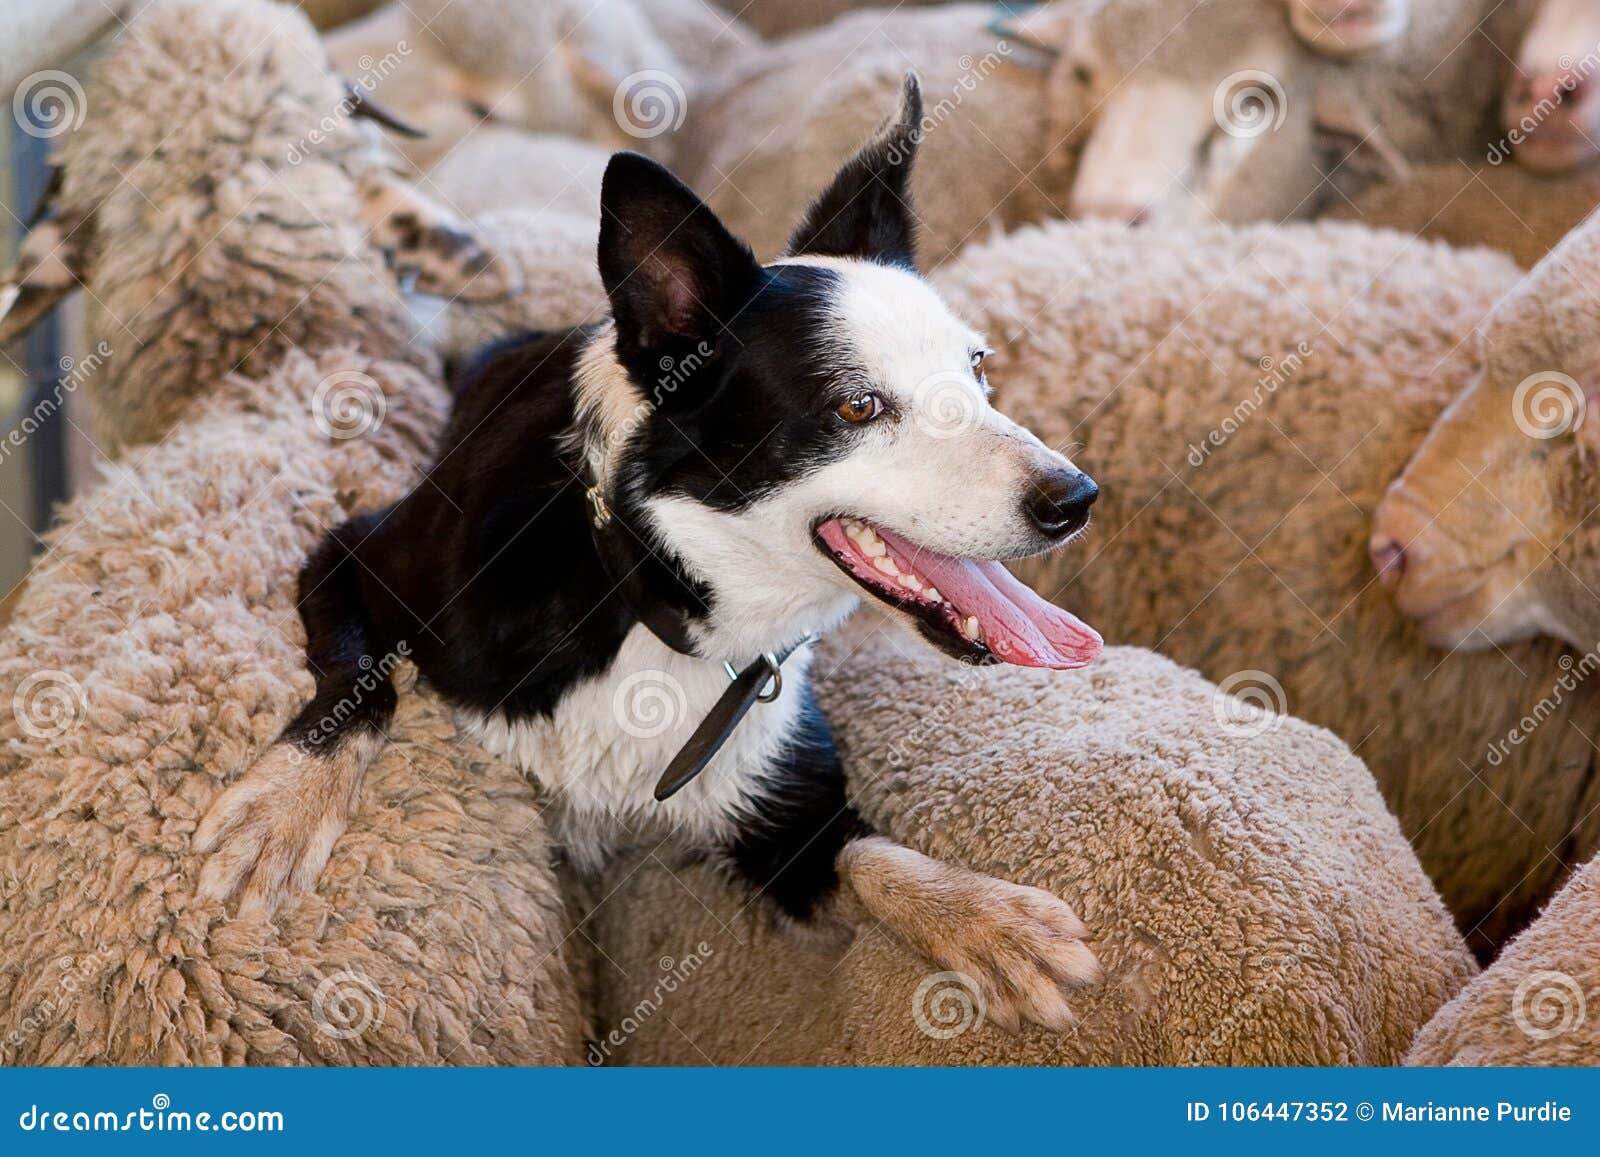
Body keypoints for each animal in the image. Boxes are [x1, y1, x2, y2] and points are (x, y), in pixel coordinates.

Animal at [193, 83, 1107, 1043]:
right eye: (858, 406)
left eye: (978, 368)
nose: (1075, 498)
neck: (653, 588)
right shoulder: (353, 552)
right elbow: (357, 683)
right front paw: (284, 807)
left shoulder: (781, 803)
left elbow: (870, 853)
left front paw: (984, 916)